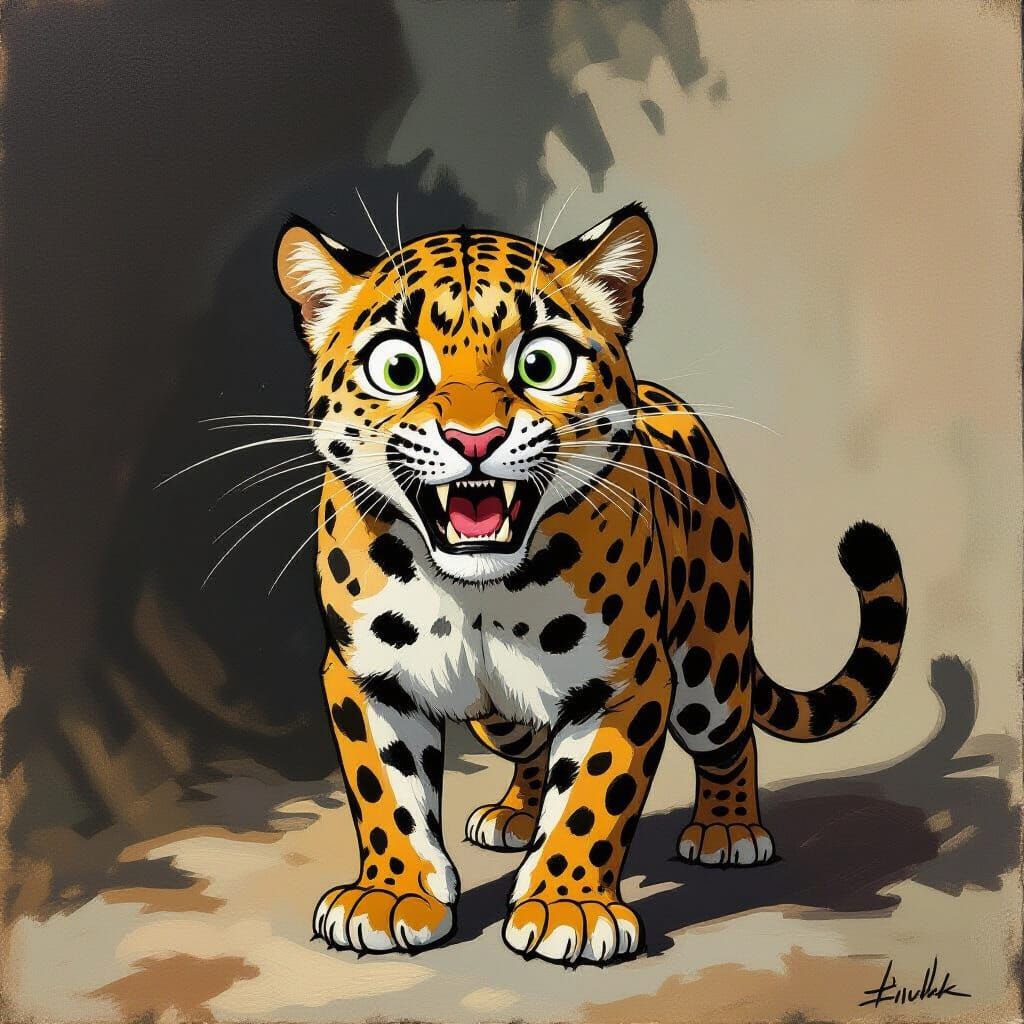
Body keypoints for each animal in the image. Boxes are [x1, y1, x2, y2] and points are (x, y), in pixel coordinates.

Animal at [273, 202, 907, 965]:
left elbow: (592, 796)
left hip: (710, 668)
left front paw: (566, 909)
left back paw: (727, 831)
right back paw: (513, 815)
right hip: (497, 721)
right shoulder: (369, 676)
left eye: (541, 363)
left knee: (732, 737)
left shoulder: (626, 681)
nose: (474, 439)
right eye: (398, 368)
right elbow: (386, 791)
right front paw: (393, 896)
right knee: (527, 744)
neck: (477, 594)